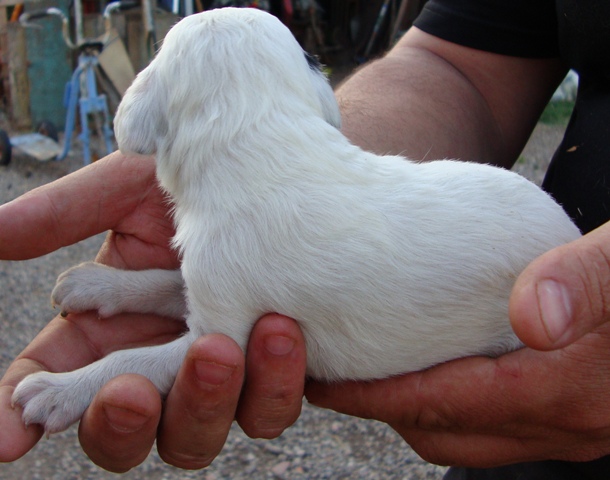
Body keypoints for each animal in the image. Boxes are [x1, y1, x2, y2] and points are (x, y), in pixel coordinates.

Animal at [11, 7, 576, 436]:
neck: (254, 136)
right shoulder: (209, 281)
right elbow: (160, 281)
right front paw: (94, 282)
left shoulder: (220, 339)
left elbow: (130, 360)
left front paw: (59, 389)